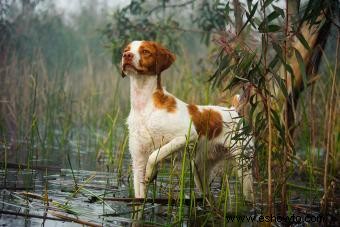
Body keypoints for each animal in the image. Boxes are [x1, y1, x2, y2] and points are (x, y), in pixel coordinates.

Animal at [121, 40, 254, 200]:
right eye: (126, 50)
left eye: (145, 51)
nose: (126, 56)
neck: (145, 107)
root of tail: (235, 111)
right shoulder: (138, 161)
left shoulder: (187, 135)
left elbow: (155, 154)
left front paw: (150, 173)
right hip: (200, 172)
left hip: (244, 166)